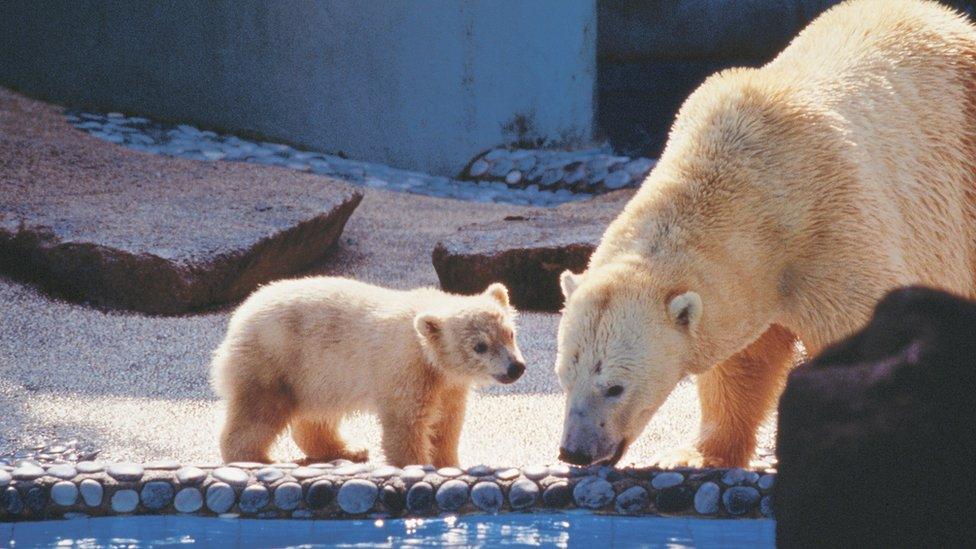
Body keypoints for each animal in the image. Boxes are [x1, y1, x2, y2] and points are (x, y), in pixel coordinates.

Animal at [552, 0, 976, 468]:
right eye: (563, 376)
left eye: (615, 387)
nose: (575, 451)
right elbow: (743, 361)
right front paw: (696, 455)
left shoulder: (834, 225)